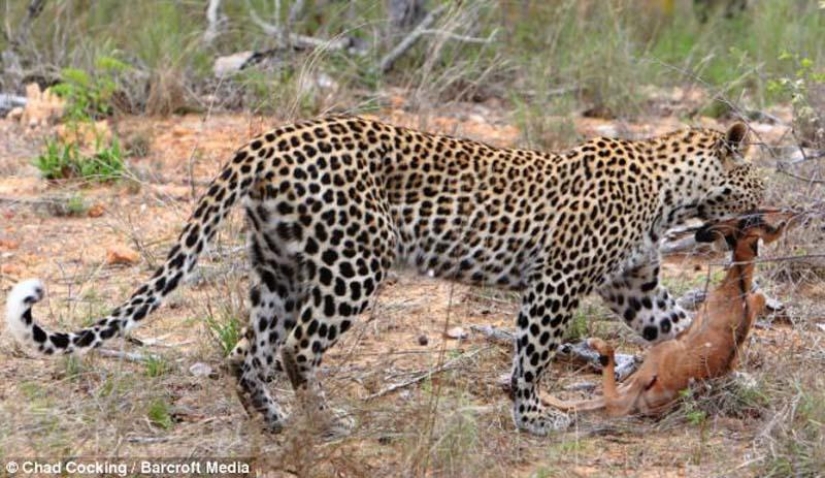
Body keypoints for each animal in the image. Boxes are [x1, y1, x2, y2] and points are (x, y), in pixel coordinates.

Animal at [5, 116, 764, 436]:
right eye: (755, 177)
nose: (767, 209)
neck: (670, 189)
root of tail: (265, 140)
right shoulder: (555, 285)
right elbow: (528, 359)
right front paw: (532, 419)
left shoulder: (633, 286)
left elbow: (682, 329)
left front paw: (740, 381)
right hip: (352, 263)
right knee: (295, 348)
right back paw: (328, 422)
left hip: (279, 267)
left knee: (245, 352)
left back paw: (276, 424)